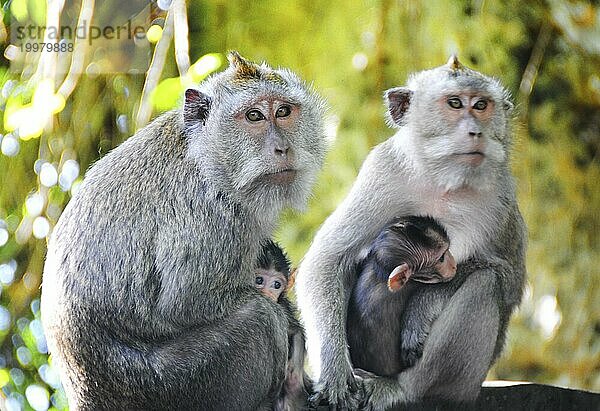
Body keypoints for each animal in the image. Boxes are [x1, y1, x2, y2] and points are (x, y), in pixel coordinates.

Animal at [254, 241, 312, 411]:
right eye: (259, 280)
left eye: (276, 284)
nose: (269, 294)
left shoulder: (282, 307)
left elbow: (296, 332)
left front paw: (293, 383)